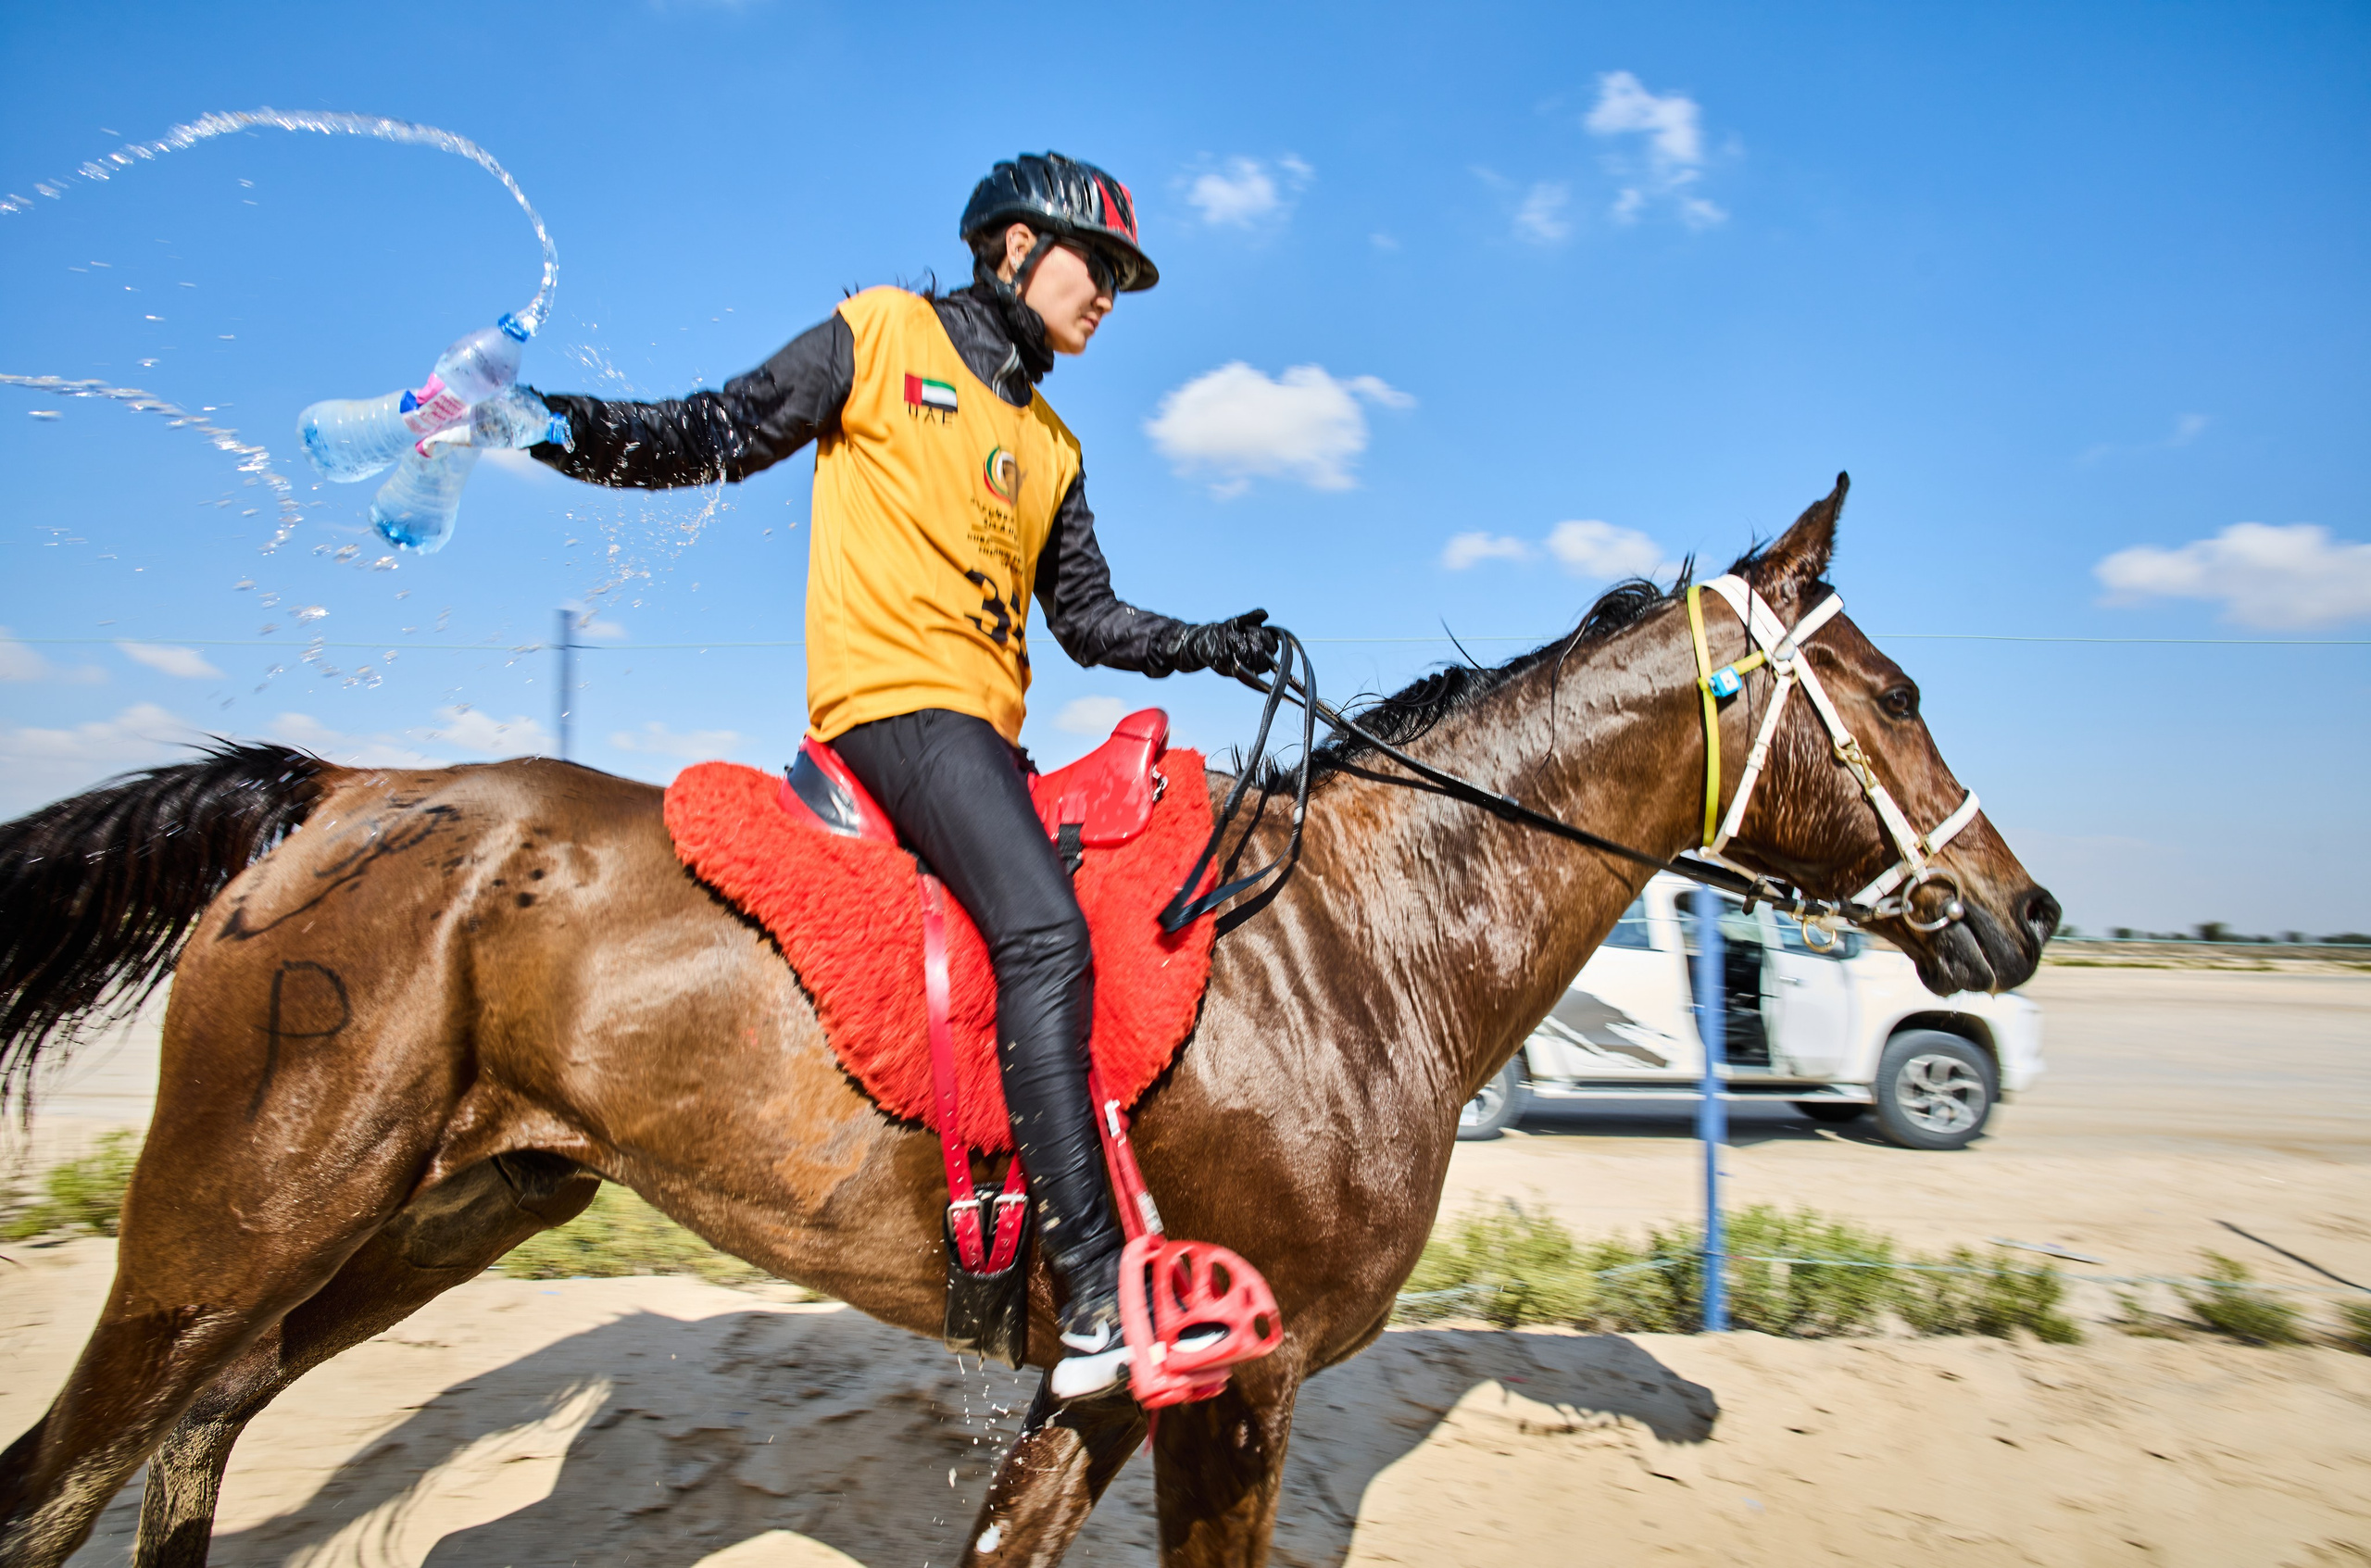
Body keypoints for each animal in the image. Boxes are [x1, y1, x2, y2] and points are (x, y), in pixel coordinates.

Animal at [0, 476, 2057, 1568]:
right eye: (1891, 689)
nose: (2022, 912)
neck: (1356, 947)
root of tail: (336, 790)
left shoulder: (1116, 1396)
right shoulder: (1236, 1386)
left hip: (444, 1205)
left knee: (198, 1431)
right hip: (232, 1218)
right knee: (63, 1472)